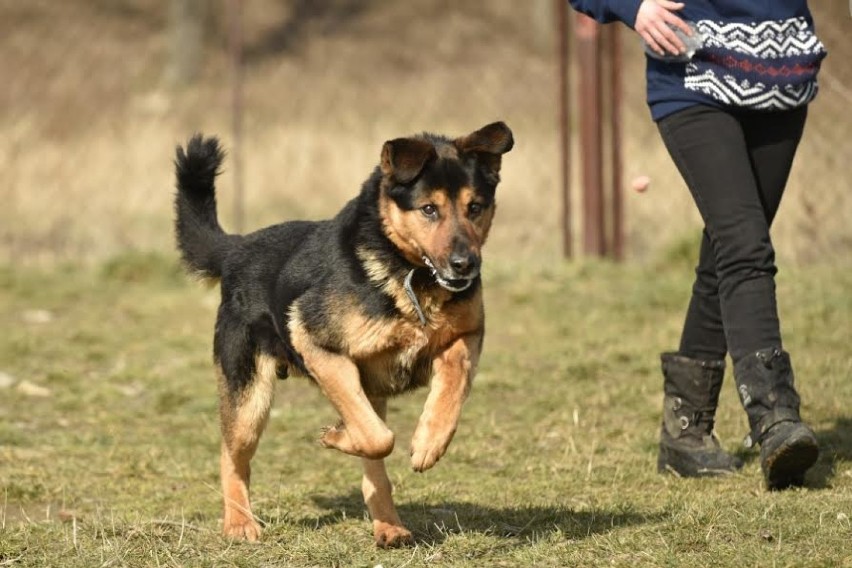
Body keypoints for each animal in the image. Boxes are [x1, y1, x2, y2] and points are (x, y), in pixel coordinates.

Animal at [173, 122, 512, 548]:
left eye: (475, 208)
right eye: (429, 209)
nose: (465, 264)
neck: (408, 273)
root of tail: (237, 248)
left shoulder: (466, 336)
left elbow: (448, 387)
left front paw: (428, 442)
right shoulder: (314, 339)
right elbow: (378, 437)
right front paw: (335, 436)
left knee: (373, 469)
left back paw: (388, 526)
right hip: (250, 400)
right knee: (232, 455)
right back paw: (239, 523)